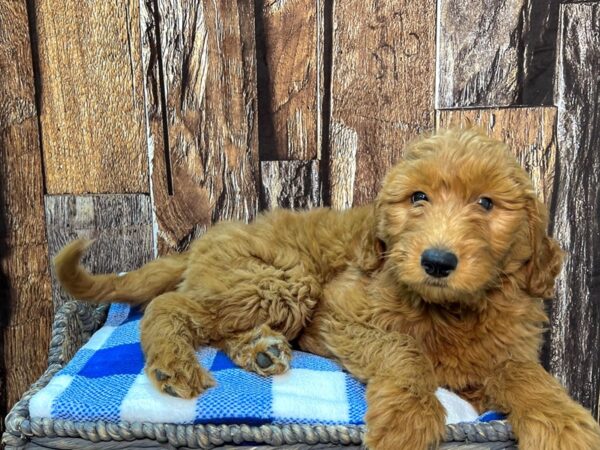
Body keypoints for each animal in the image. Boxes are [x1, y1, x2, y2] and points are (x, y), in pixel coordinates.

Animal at [55, 128, 600, 448]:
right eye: (418, 198)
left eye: (486, 204)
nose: (437, 261)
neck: (448, 308)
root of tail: (211, 236)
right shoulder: (336, 318)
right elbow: (404, 351)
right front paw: (408, 420)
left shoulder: (508, 350)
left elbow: (526, 375)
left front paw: (564, 424)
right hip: (285, 280)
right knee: (169, 305)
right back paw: (175, 363)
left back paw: (262, 351)